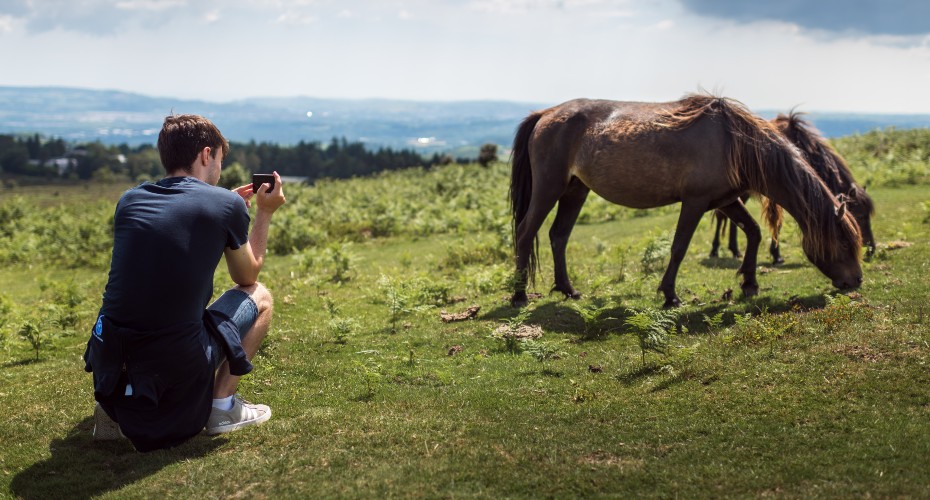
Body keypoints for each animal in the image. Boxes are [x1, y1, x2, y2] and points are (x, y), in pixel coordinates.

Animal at [712, 111, 876, 262]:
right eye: (859, 216)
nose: (871, 249)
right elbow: (777, 223)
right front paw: (776, 255)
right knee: (721, 216)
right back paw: (715, 249)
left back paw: (734, 250)